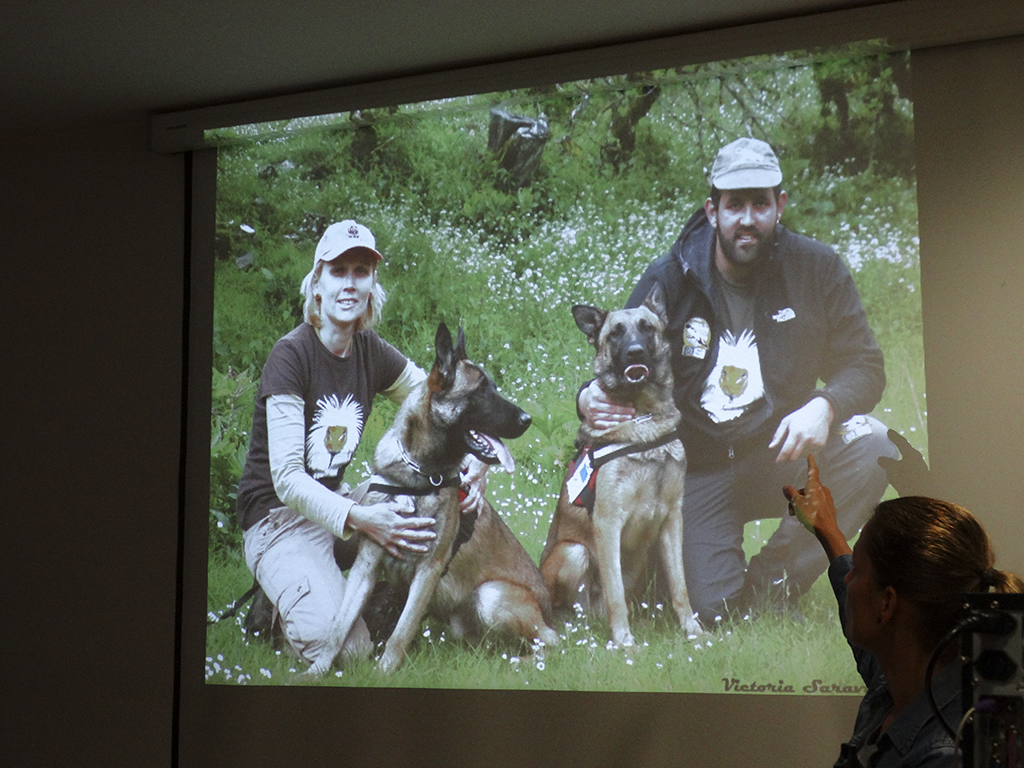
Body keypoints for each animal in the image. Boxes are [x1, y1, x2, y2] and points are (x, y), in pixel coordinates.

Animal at [308, 322, 553, 675]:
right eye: (481, 391)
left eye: (493, 387)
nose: (527, 420)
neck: (418, 476)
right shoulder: (366, 566)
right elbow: (338, 629)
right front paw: (316, 671)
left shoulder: (428, 571)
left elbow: (400, 633)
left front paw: (383, 675)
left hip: (491, 594)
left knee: (552, 643)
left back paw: (519, 663)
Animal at [539, 284, 701, 646]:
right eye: (615, 334)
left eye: (647, 327)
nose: (635, 352)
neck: (644, 417)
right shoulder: (608, 522)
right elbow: (615, 594)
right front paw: (625, 642)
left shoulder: (673, 519)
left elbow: (681, 586)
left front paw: (694, 631)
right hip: (573, 552)